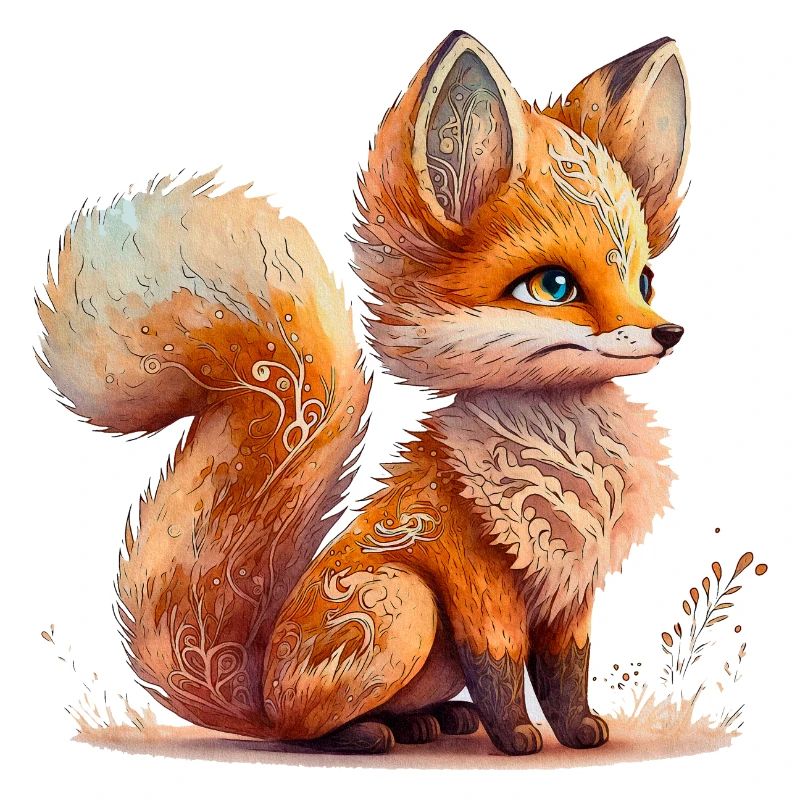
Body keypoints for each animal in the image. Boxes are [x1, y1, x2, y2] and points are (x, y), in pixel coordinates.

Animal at [37, 31, 688, 755]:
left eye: (646, 279)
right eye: (553, 287)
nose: (668, 334)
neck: (564, 450)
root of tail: (259, 695)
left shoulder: (572, 586)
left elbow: (566, 670)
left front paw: (578, 730)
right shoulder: (474, 571)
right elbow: (500, 663)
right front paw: (517, 735)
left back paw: (429, 721)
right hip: (402, 604)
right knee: (306, 733)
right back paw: (365, 734)